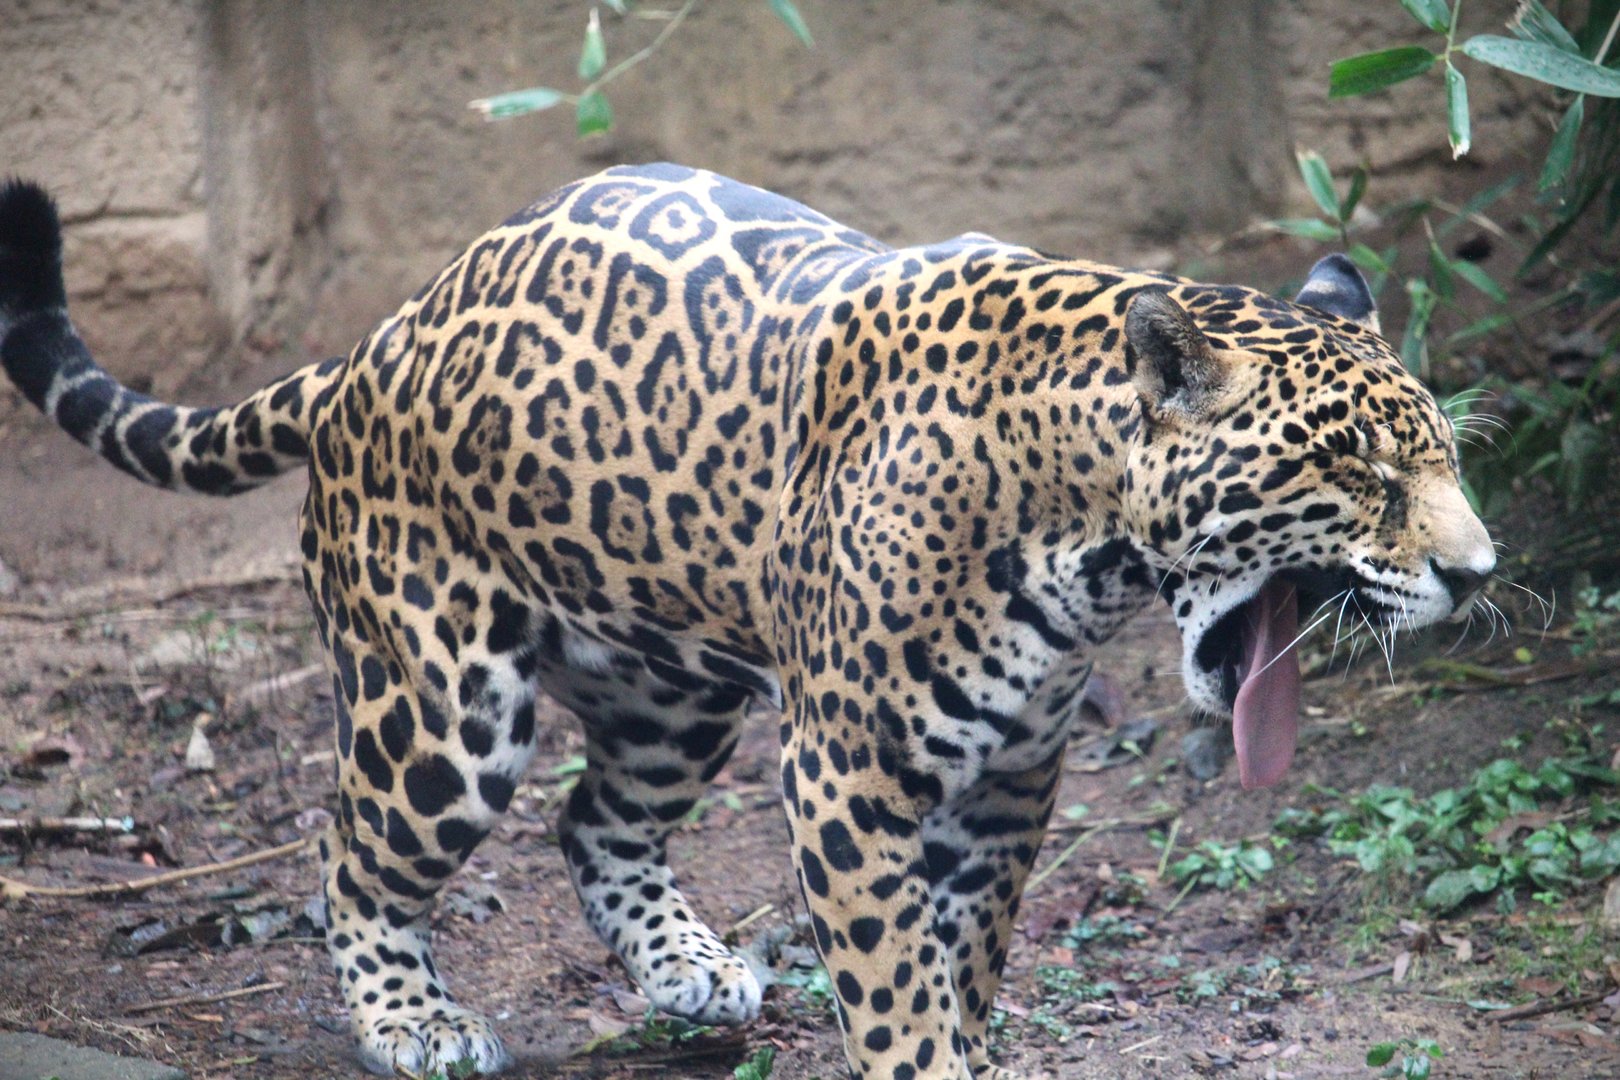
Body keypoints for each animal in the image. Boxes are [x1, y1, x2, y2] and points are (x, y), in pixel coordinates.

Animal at [0, 164, 1494, 1079]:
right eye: (1359, 472)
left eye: (1442, 459)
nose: (1479, 574)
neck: (1082, 527)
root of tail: (377, 341)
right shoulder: (851, 775)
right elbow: (895, 978)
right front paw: (923, 1060)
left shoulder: (1013, 779)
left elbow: (971, 955)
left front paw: (975, 1047)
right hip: (444, 706)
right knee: (355, 850)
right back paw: (411, 1020)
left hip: (679, 690)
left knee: (593, 821)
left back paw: (692, 970)